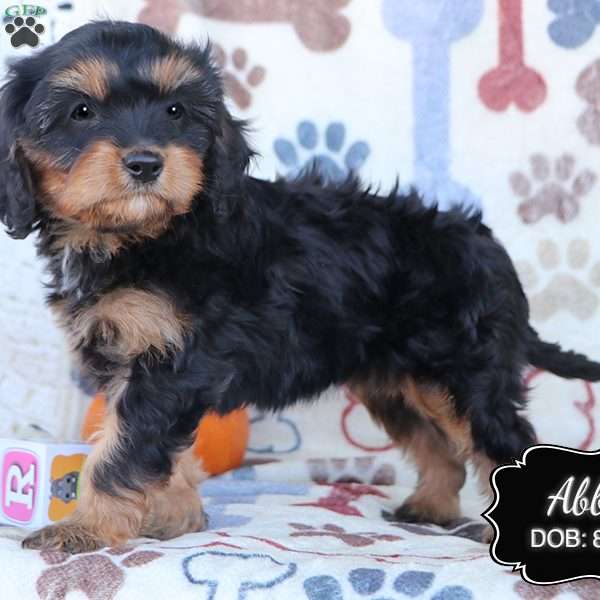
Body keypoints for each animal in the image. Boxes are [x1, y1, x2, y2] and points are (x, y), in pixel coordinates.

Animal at [1, 21, 600, 556]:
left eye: (177, 112)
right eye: (81, 112)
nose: (147, 163)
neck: (141, 236)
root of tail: (491, 248)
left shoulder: (169, 363)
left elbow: (122, 451)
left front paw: (87, 529)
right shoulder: (138, 362)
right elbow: (155, 447)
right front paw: (175, 516)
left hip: (466, 374)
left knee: (503, 439)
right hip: (399, 380)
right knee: (441, 449)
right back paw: (429, 507)